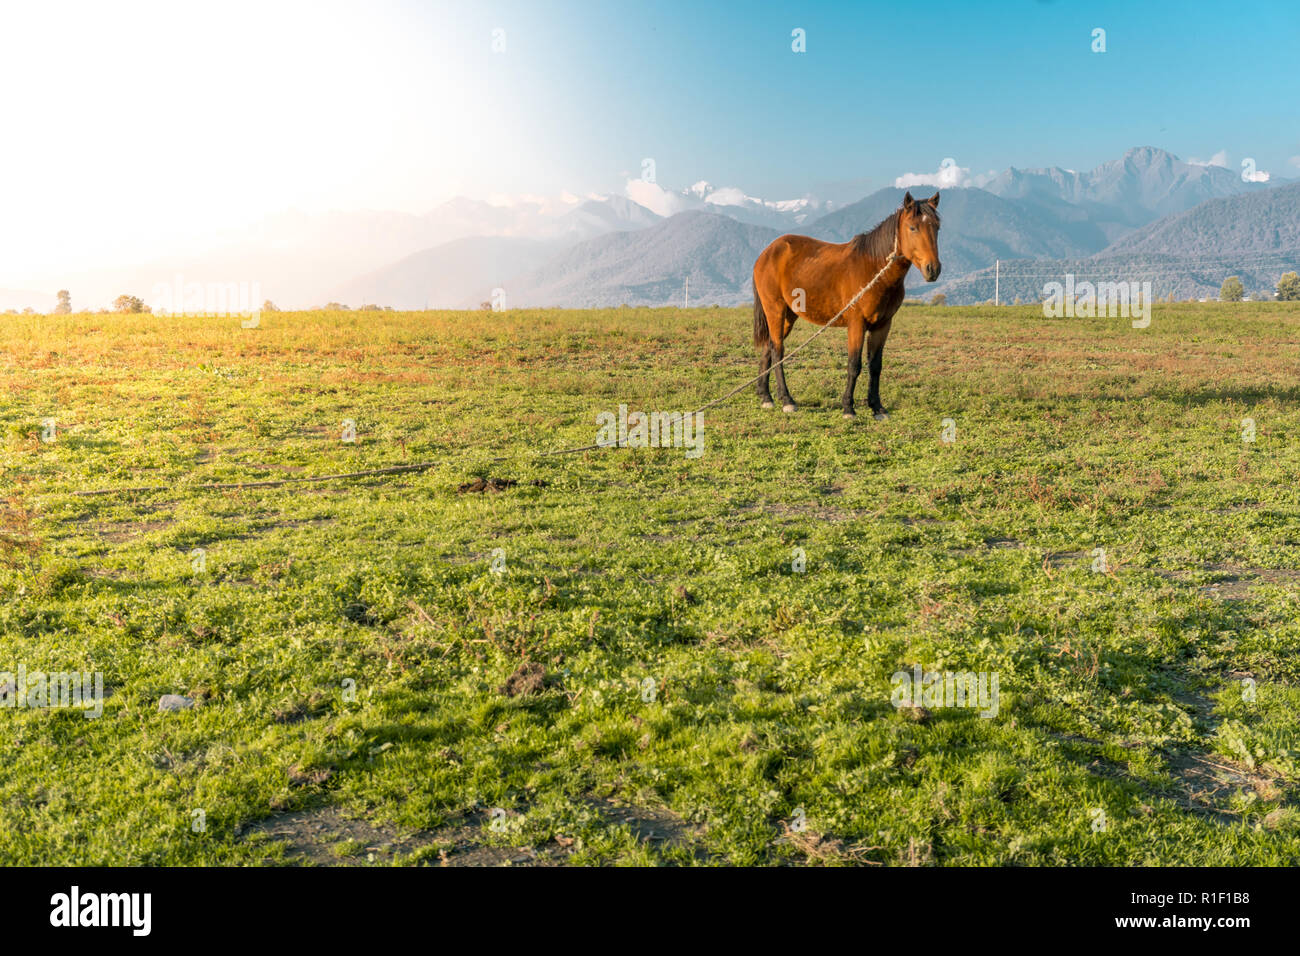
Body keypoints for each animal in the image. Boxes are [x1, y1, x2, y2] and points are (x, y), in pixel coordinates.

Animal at [754, 191, 946, 418]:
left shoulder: (882, 325)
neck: (874, 269)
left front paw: (877, 407)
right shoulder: (856, 324)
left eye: (937, 227)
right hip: (775, 310)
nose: (933, 269)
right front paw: (848, 407)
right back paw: (786, 400)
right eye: (913, 227)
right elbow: (854, 365)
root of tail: (768, 252)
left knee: (768, 347)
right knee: (777, 351)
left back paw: (765, 396)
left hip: (788, 316)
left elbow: (875, 366)